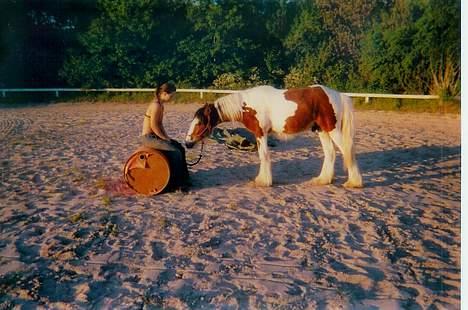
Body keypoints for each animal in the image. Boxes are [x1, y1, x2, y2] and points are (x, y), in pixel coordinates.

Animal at [185, 84, 364, 186]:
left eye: (200, 122)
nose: (187, 143)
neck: (246, 105)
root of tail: (338, 95)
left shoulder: (261, 133)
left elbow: (264, 156)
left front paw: (264, 181)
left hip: (332, 129)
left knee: (347, 150)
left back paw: (354, 182)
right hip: (322, 131)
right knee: (330, 153)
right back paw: (323, 180)